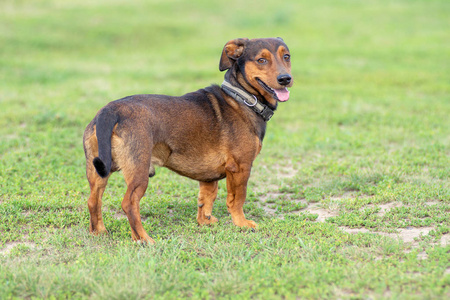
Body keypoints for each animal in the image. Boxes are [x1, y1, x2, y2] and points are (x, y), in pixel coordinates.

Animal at [82, 38, 294, 244]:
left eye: (287, 56)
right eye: (261, 60)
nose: (285, 78)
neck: (242, 98)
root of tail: (111, 111)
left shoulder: (208, 177)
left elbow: (206, 198)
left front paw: (205, 221)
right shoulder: (240, 167)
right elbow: (237, 199)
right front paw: (241, 223)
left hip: (98, 170)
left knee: (93, 201)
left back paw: (99, 233)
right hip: (138, 172)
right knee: (129, 204)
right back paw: (144, 239)